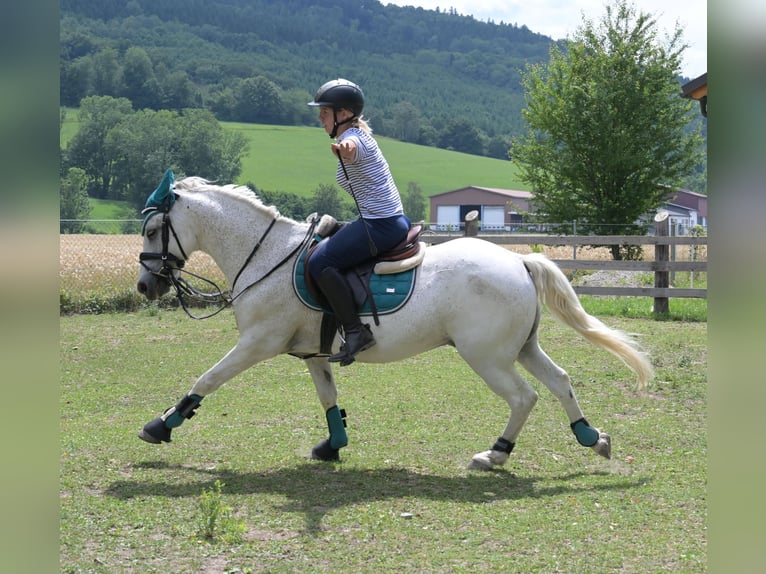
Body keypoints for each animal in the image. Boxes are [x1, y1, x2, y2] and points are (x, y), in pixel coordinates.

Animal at [138, 172, 656, 472]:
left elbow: (207, 379)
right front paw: (333, 446)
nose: (145, 286)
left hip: (487, 356)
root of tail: (518, 261)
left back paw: (495, 453)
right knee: (560, 381)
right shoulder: (312, 353)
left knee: (523, 397)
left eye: (152, 229)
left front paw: (160, 425)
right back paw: (591, 437)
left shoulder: (257, 342)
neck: (267, 255)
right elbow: (329, 399)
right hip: (522, 347)